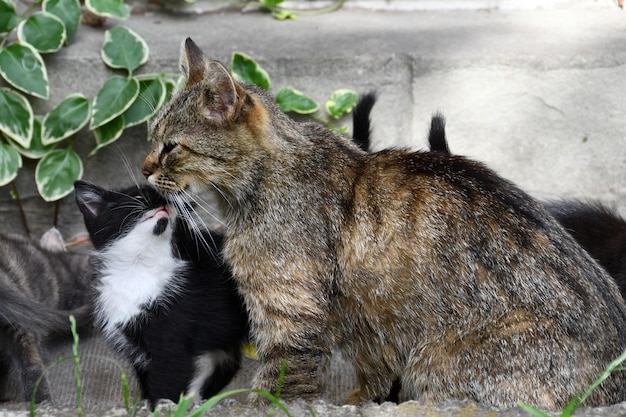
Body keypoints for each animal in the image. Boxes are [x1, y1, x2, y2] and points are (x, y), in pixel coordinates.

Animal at [74, 180, 247, 406]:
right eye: (138, 196)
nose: (164, 203)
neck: (138, 269)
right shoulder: (137, 348)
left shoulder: (173, 339)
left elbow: (167, 380)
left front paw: (163, 407)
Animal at [140, 37, 624, 408]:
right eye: (150, 136)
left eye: (171, 147)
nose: (144, 169)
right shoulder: (365, 330)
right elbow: (368, 377)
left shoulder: (292, 316)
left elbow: (278, 386)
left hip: (437, 362)